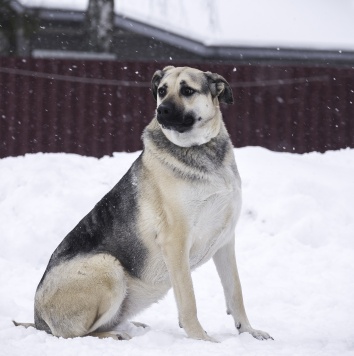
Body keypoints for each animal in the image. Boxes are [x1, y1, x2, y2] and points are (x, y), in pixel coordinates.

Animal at [13, 65, 272, 340]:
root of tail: (38, 320)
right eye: (162, 91)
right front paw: (200, 338)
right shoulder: (175, 240)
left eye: (187, 91)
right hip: (107, 266)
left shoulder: (225, 241)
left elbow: (235, 291)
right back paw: (116, 335)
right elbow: (188, 299)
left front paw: (249, 331)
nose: (162, 111)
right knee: (75, 334)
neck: (202, 149)